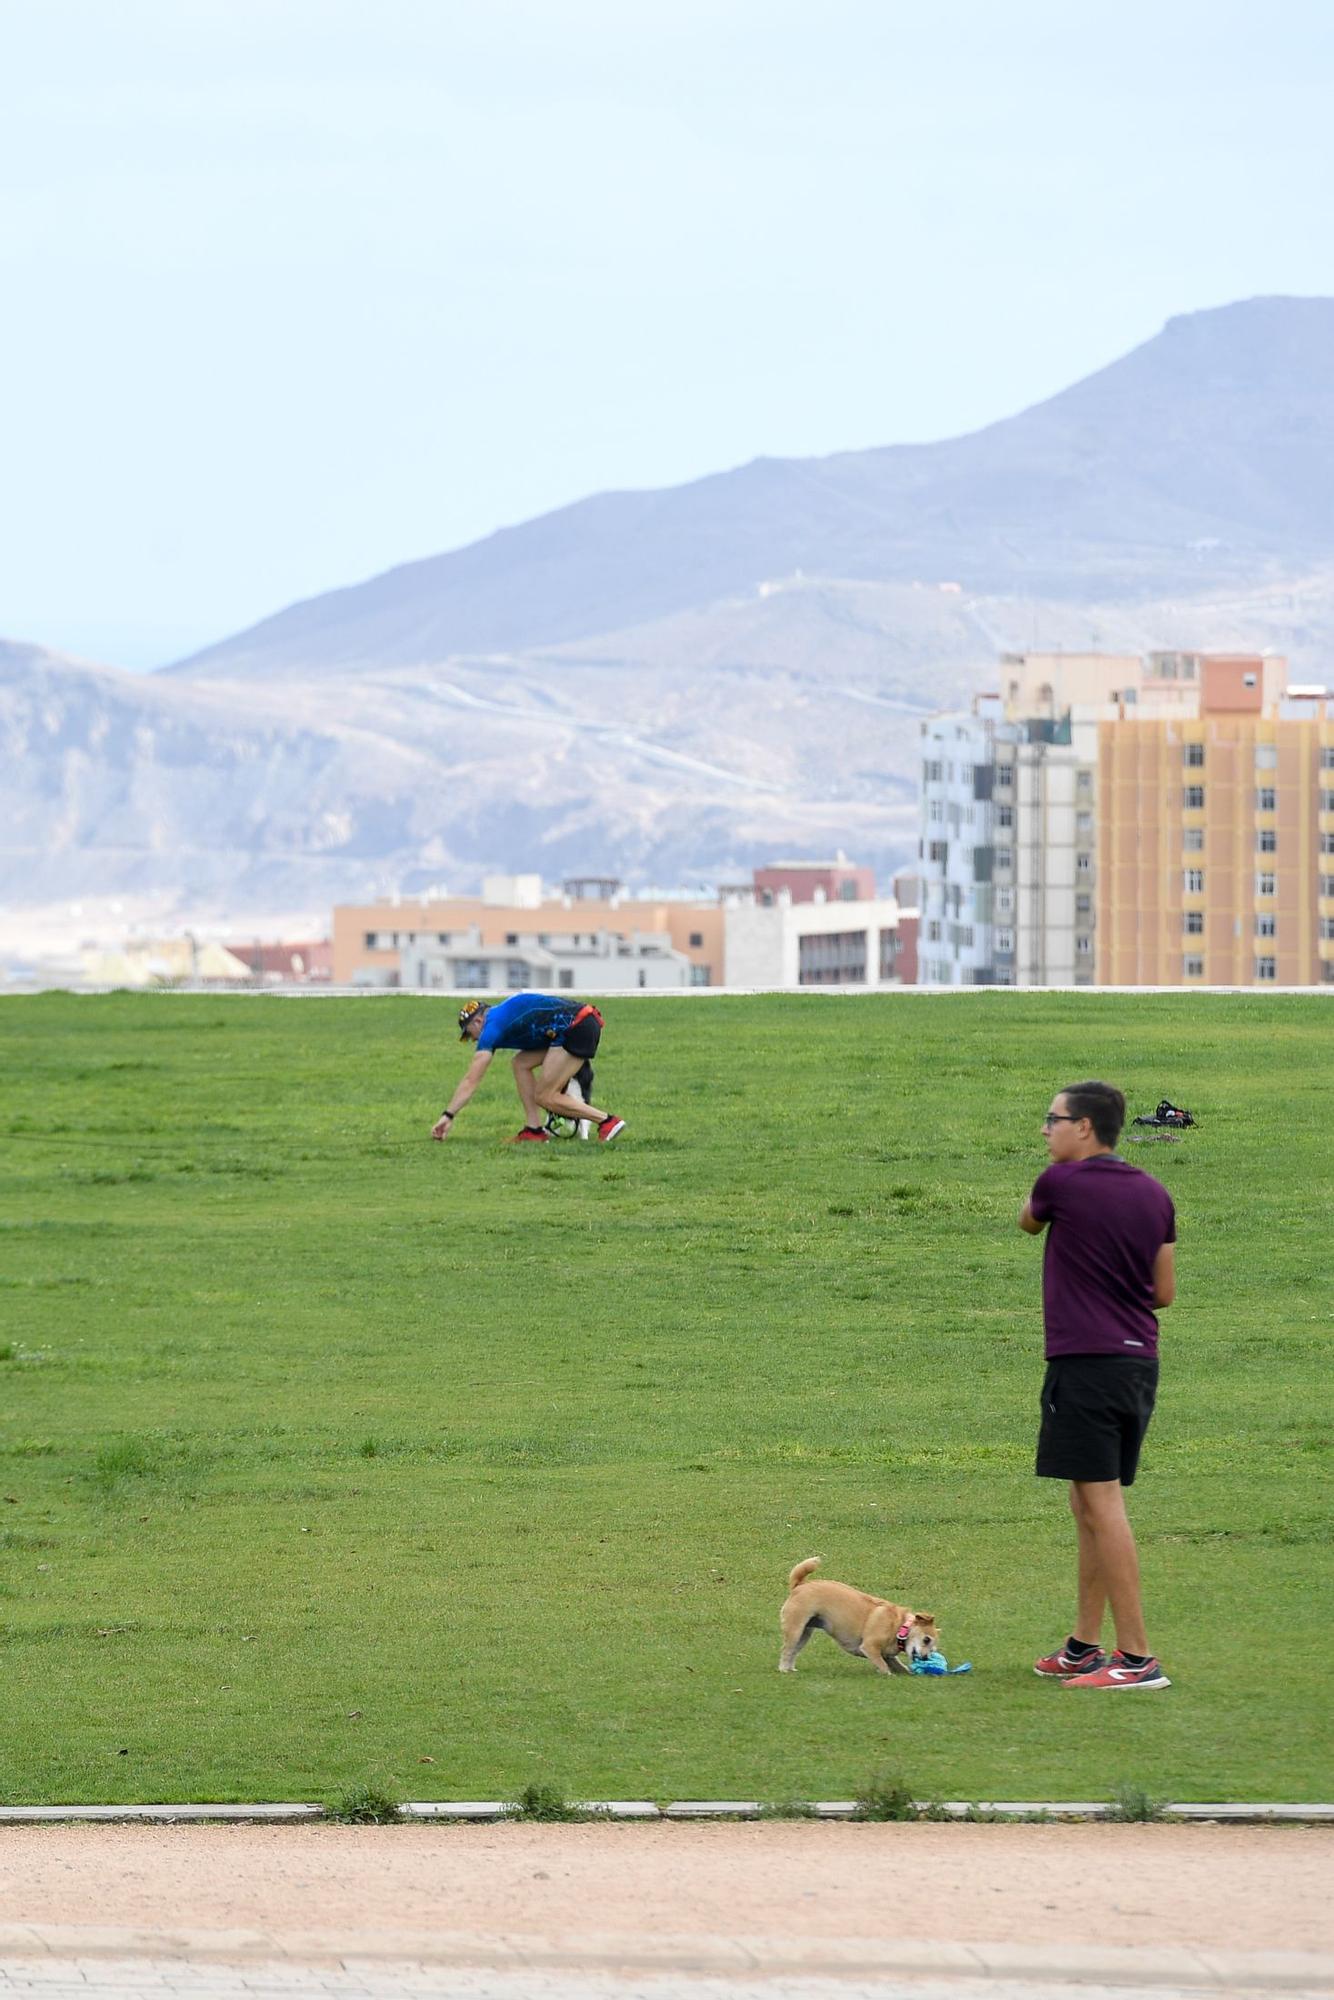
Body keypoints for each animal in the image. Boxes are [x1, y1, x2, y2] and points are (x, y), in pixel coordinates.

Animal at [776, 1560, 936, 1672]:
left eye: (933, 1649)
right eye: (926, 1639)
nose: (925, 1658)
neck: (900, 1626)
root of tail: (800, 1585)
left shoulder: (888, 1655)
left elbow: (898, 1665)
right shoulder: (869, 1647)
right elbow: (883, 1667)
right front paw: (887, 1674)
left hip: (805, 1632)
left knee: (793, 1651)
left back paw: (791, 1669)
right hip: (795, 1629)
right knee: (786, 1650)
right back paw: (784, 1670)